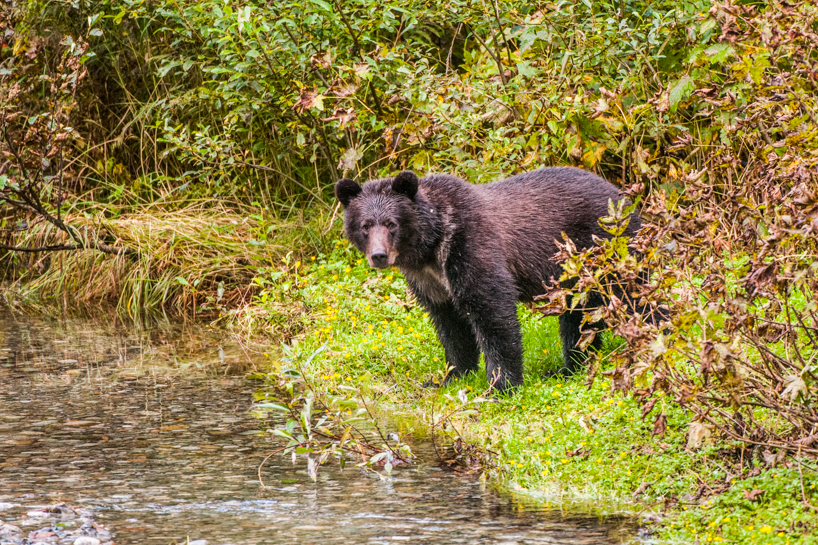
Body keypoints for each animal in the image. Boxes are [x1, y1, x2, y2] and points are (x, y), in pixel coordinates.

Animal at [335, 167, 641, 392]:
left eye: (391, 223)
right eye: (365, 225)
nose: (379, 255)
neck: (432, 248)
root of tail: (622, 196)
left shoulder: (471, 247)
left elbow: (493, 313)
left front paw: (501, 385)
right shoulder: (432, 283)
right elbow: (452, 328)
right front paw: (447, 377)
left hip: (606, 250)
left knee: (633, 297)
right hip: (575, 276)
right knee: (578, 316)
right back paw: (568, 367)